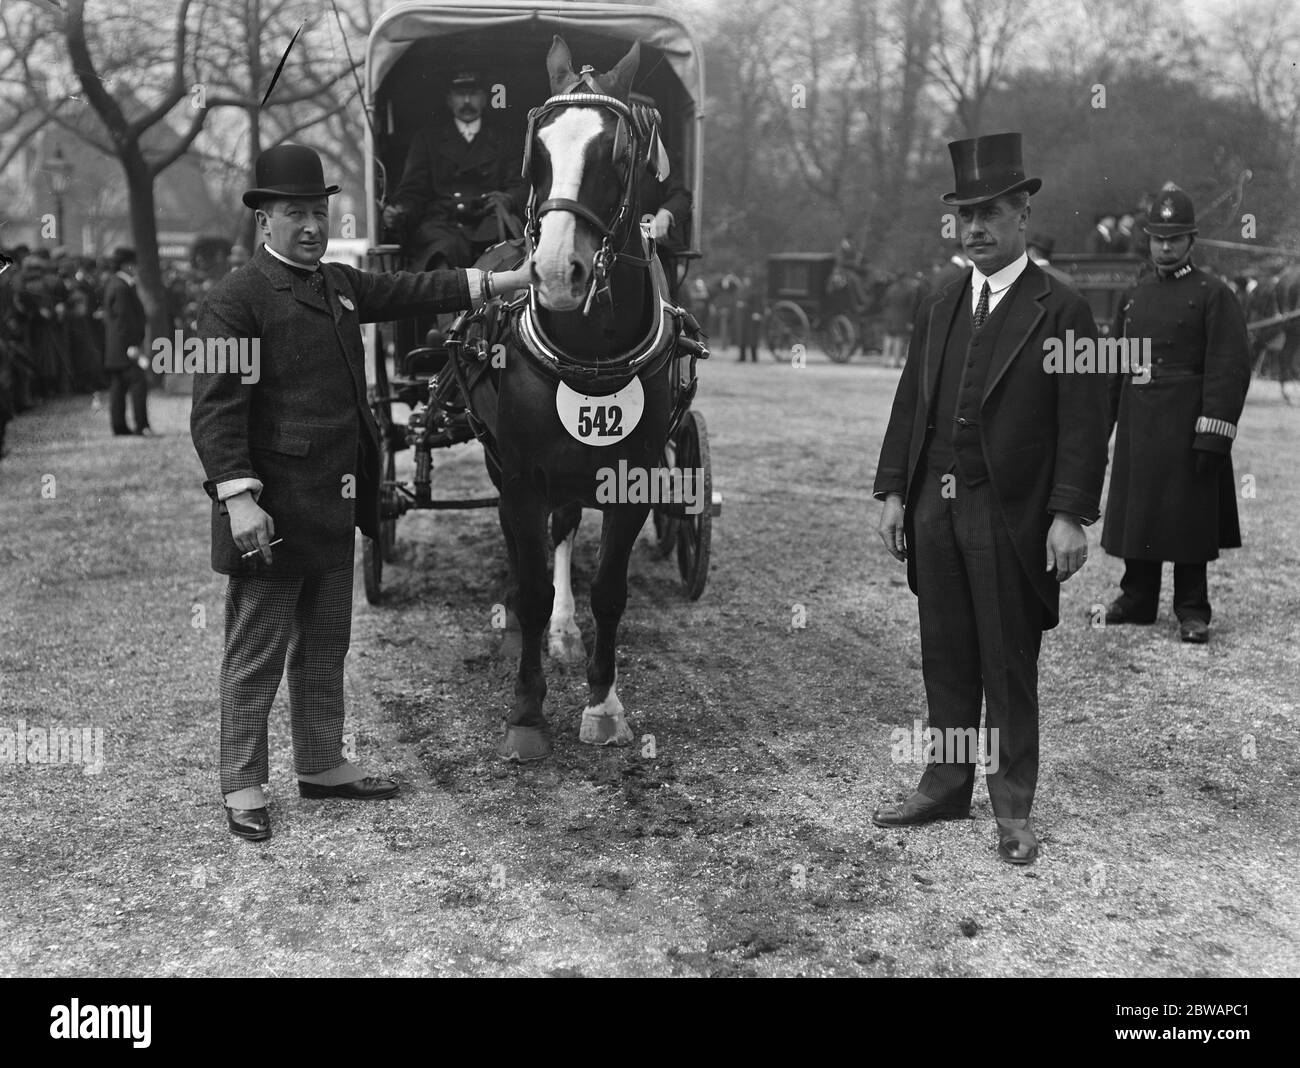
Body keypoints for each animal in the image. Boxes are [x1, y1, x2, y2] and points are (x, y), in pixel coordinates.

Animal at [452, 35, 707, 758]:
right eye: (537, 151)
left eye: (618, 155)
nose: (556, 274)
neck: (590, 346)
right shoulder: (520, 476)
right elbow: (533, 589)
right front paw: (527, 712)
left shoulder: (633, 474)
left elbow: (610, 591)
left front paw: (603, 703)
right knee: (541, 545)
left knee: (565, 526)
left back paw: (568, 637)